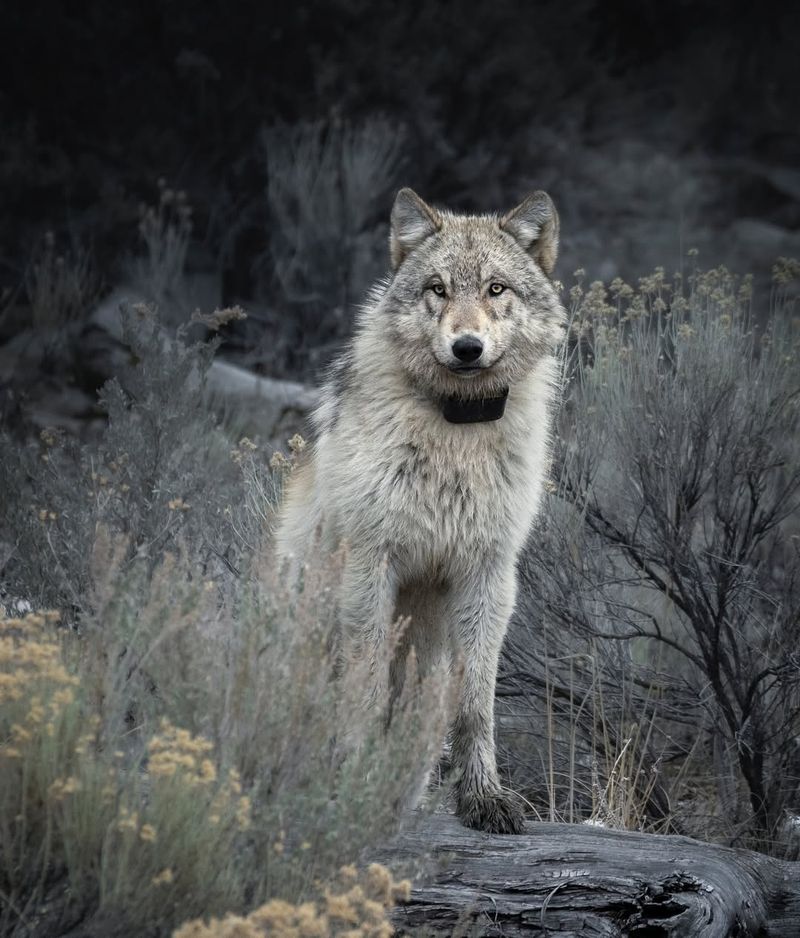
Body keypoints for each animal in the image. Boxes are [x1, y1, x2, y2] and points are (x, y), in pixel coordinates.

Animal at [278, 186, 564, 828]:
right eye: (437, 288)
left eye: (495, 289)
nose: (467, 347)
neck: (455, 431)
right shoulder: (370, 566)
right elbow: (364, 693)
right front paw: (354, 783)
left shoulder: (489, 574)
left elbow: (475, 706)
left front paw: (483, 797)